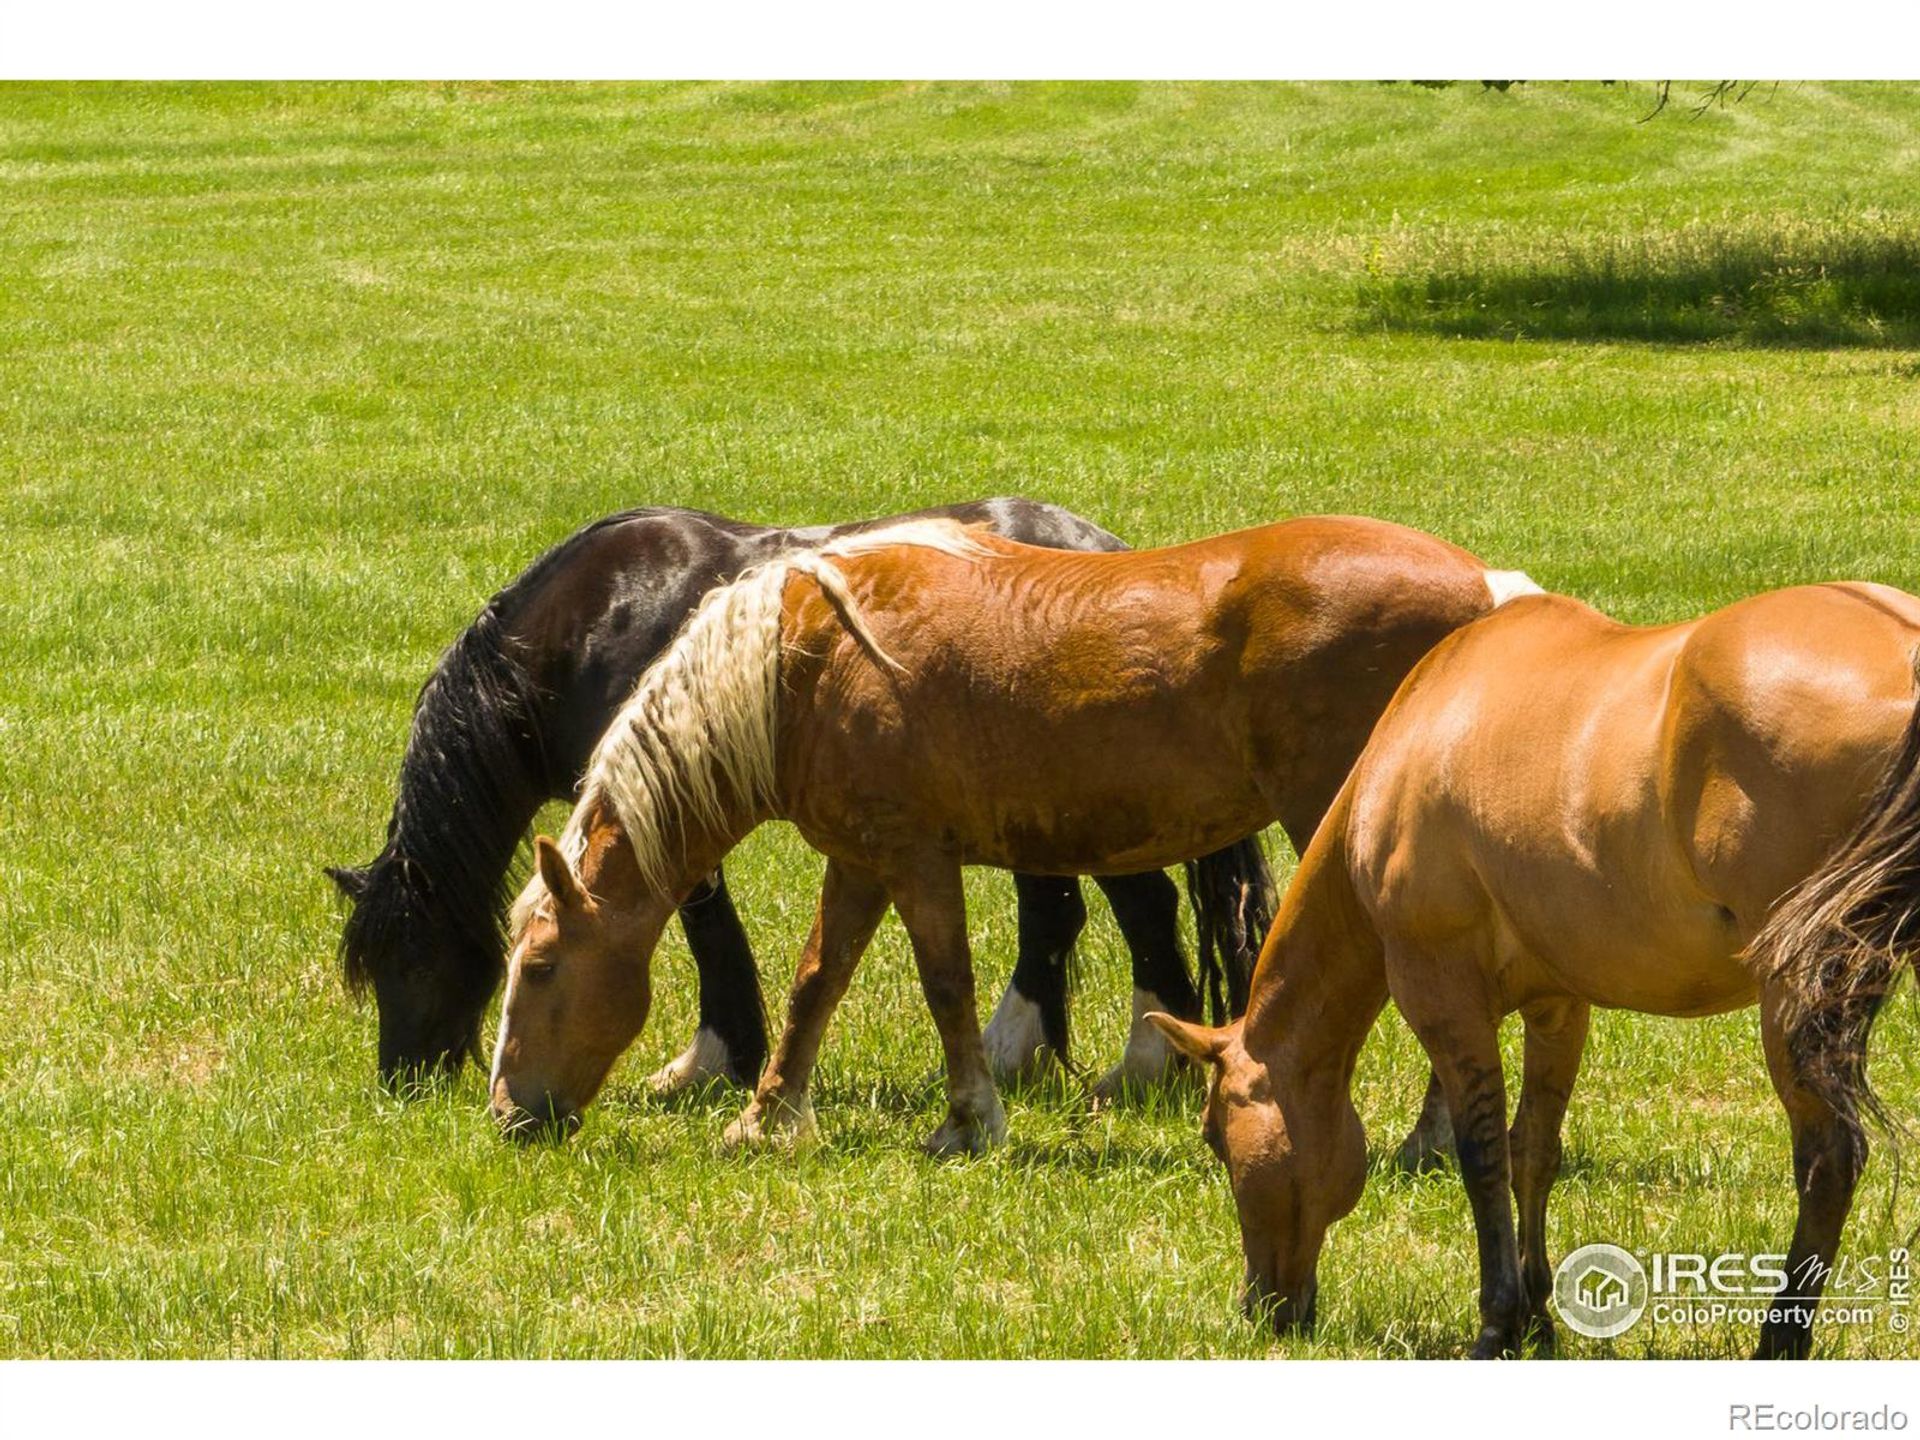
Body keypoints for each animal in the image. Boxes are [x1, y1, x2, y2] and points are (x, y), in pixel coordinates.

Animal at [326, 503, 1274, 1098]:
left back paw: (1141, 1063)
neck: (585, 630)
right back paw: (1018, 1050)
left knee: (1141, 904)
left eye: (414, 957)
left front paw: (715, 1060)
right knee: (1058, 910)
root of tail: (1107, 549)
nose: (402, 1079)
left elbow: (707, 928)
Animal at [487, 518, 1536, 1159]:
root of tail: (1488, 589)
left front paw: (969, 1119)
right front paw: (767, 1116)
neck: (803, 663)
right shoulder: (859, 859)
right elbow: (815, 982)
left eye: (539, 967)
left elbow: (946, 984)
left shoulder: (915, 857)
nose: (505, 1112)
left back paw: (1429, 1141)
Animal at [1144, 579, 1920, 1359]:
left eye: (1215, 1137)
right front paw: (1539, 1319)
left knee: (1827, 1161)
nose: (1261, 1309)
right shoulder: (1559, 1005)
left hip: (1795, 995)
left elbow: (1481, 1155)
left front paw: (1498, 1321)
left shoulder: (1442, 998)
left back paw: (1777, 1342)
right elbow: (1533, 1150)